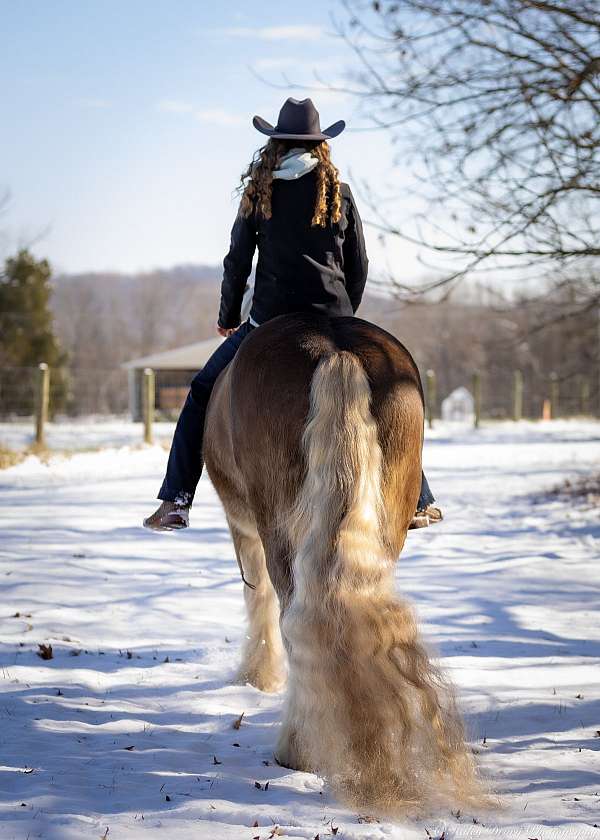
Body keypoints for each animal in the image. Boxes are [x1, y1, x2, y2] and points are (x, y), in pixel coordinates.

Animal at [204, 314, 480, 812]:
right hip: (383, 530)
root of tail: (334, 346)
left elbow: (257, 600)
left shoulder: (243, 528)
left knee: (293, 618)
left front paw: (257, 676)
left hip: (279, 530)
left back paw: (297, 749)